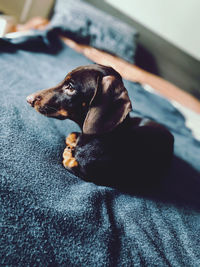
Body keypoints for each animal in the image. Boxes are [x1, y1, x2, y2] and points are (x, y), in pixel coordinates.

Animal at [26, 64, 173, 192]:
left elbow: (69, 162)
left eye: (70, 87)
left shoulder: (88, 174)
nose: (28, 99)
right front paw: (73, 140)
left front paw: (69, 151)